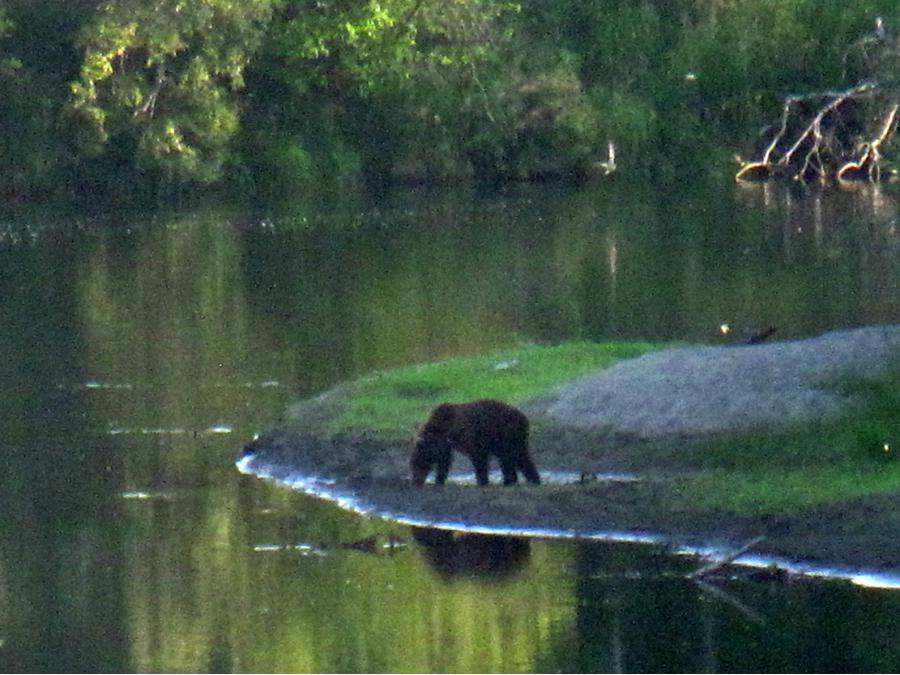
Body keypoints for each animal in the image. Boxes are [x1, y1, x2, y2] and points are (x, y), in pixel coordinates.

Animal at [410, 398, 540, 488]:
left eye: (417, 464)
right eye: (413, 465)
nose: (415, 481)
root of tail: (524, 419)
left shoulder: (473, 437)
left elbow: (479, 458)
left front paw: (482, 481)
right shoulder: (446, 445)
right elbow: (444, 460)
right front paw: (439, 480)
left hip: (505, 434)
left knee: (508, 457)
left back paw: (511, 480)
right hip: (515, 439)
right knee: (521, 457)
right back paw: (532, 479)